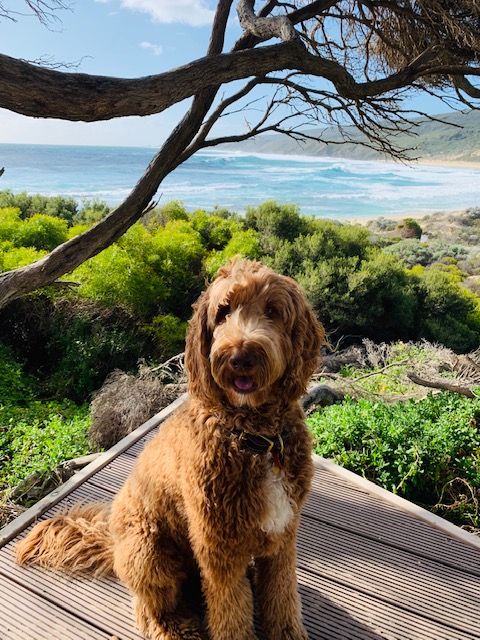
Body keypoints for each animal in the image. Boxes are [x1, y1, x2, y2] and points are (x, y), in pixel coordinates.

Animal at [17, 258, 326, 640]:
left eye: (272, 311)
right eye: (223, 312)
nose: (239, 357)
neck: (254, 439)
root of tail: (113, 544)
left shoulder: (282, 536)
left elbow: (282, 596)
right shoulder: (218, 547)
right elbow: (231, 610)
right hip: (149, 551)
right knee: (151, 606)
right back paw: (176, 628)